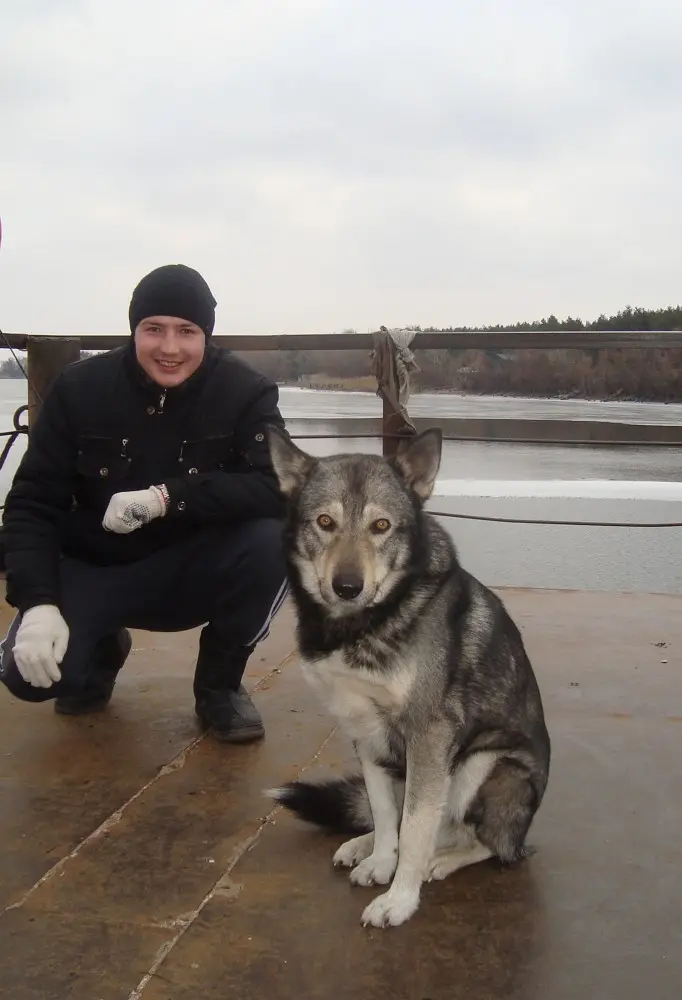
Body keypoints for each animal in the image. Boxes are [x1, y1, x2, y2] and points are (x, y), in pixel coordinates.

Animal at [262, 428, 548, 928]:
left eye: (381, 526)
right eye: (324, 522)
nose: (347, 586)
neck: (364, 624)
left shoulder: (429, 734)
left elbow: (416, 825)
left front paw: (399, 899)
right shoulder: (364, 730)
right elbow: (383, 810)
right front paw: (381, 860)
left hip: (482, 764)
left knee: (490, 844)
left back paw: (444, 859)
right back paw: (365, 845)